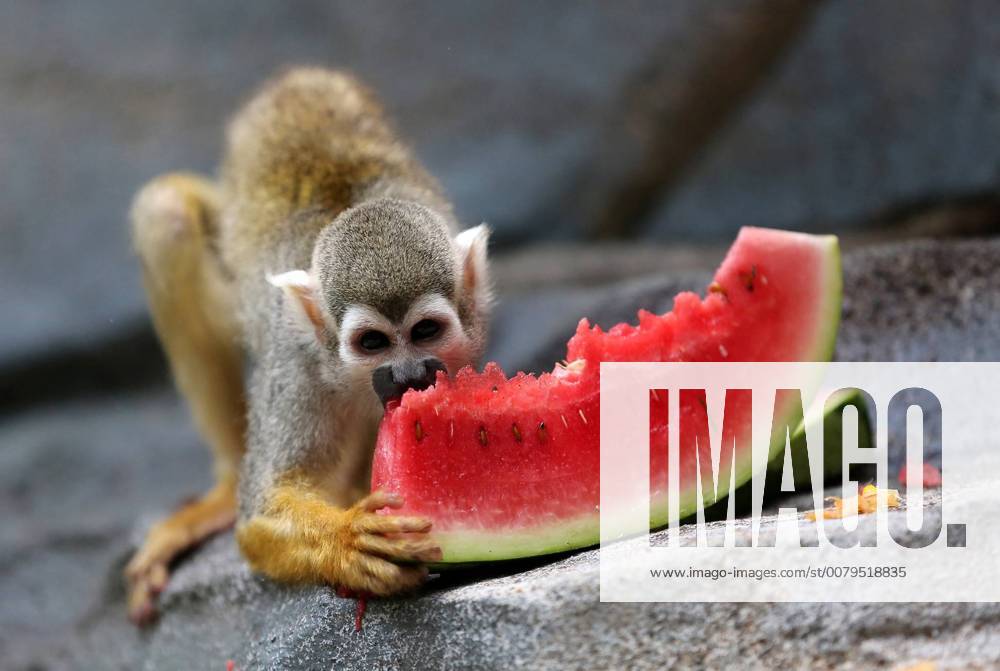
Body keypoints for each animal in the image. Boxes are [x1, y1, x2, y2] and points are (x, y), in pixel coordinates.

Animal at [126, 67, 491, 624]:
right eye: (371, 342)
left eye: (426, 332)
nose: (407, 375)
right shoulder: (298, 367)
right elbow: (263, 511)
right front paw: (348, 541)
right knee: (164, 213)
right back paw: (226, 489)